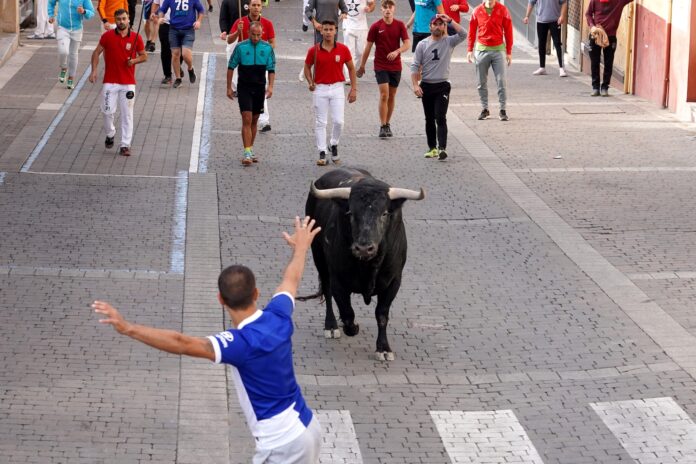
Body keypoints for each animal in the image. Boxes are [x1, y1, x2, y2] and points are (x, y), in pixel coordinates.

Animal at [300, 169, 424, 360]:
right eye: (350, 213)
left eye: (384, 213)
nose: (364, 248)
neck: (369, 266)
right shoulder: (338, 280)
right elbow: (347, 313)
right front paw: (352, 327)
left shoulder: (394, 282)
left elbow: (382, 314)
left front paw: (384, 348)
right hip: (318, 256)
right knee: (327, 291)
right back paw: (331, 326)